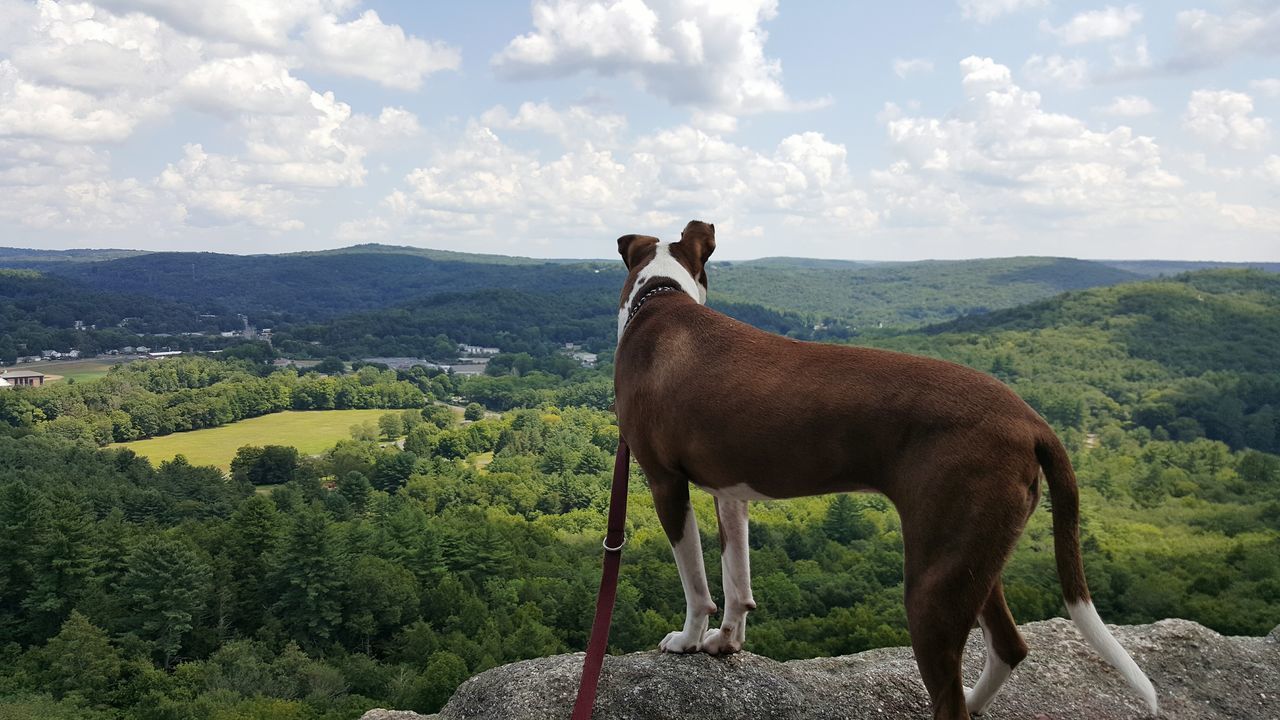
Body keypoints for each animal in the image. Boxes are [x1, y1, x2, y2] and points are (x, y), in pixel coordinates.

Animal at [611, 219, 1162, 717]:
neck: (660, 298)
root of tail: (1030, 420)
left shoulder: (666, 483)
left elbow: (697, 583)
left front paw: (687, 639)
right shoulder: (731, 494)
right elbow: (736, 579)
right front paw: (726, 642)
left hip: (931, 585)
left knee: (950, 698)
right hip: (973, 558)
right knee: (1009, 647)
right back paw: (978, 696)